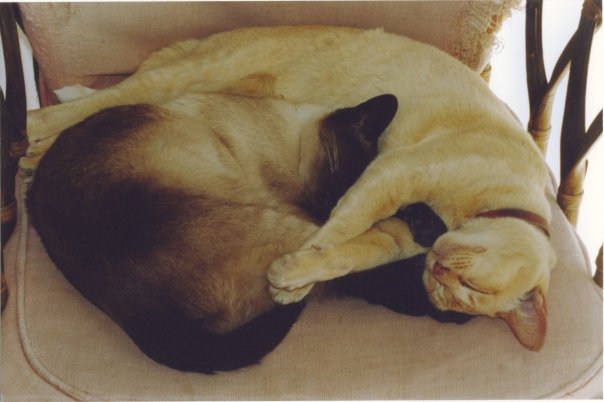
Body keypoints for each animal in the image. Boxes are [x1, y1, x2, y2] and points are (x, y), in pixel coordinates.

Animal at [23, 26, 556, 354]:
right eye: (471, 286)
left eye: (454, 293)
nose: (439, 270)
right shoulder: (390, 176)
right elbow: (335, 228)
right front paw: (293, 272)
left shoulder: (395, 228)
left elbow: (350, 252)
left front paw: (297, 277)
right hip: (191, 77)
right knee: (78, 106)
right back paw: (30, 144)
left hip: (186, 90)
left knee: (101, 103)